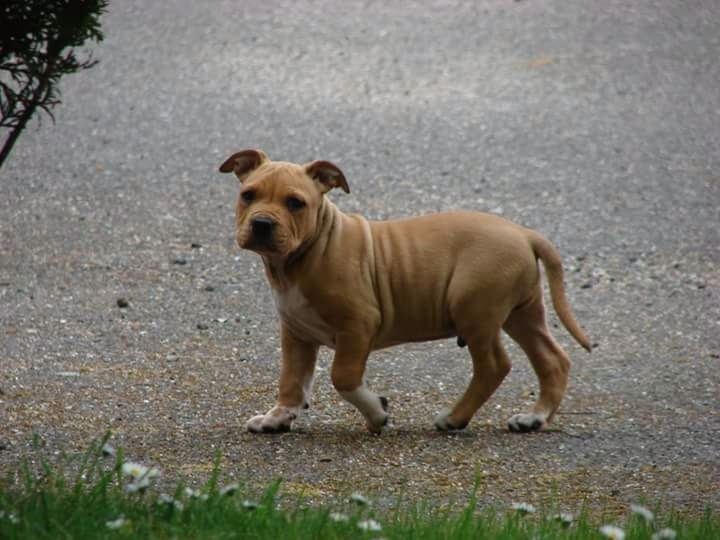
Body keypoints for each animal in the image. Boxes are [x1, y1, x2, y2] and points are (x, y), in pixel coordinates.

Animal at [219, 149, 590, 434]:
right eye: (248, 195)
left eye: (295, 203)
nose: (262, 224)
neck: (301, 258)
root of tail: (524, 233)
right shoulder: (296, 333)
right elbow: (291, 380)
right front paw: (277, 418)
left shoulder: (359, 323)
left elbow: (343, 376)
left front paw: (376, 413)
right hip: (521, 313)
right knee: (552, 359)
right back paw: (533, 418)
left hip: (475, 310)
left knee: (495, 365)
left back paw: (455, 418)